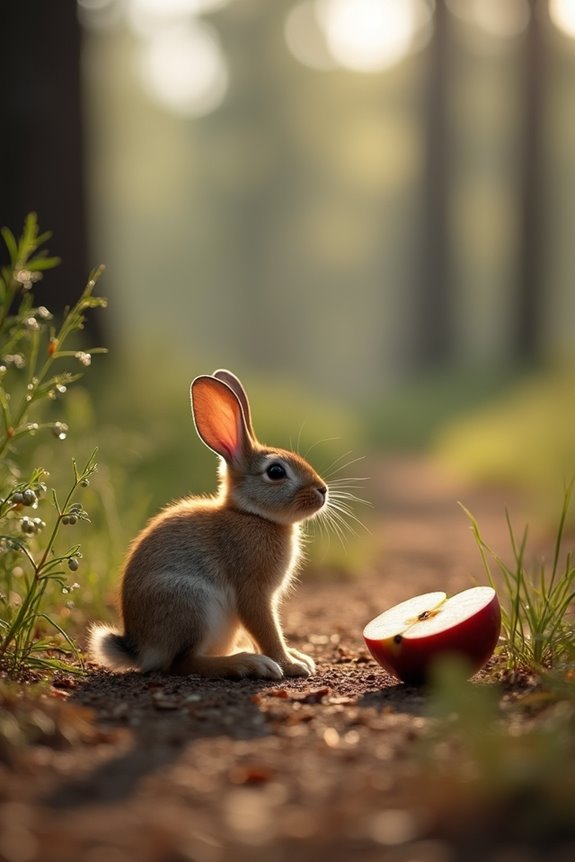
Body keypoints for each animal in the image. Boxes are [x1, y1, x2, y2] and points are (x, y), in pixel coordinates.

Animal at [88, 369, 329, 680]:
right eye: (276, 472)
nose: (322, 491)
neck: (252, 515)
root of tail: (139, 648)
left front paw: (298, 658)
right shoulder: (254, 592)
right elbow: (266, 630)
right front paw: (291, 665)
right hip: (193, 604)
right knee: (181, 663)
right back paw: (247, 663)